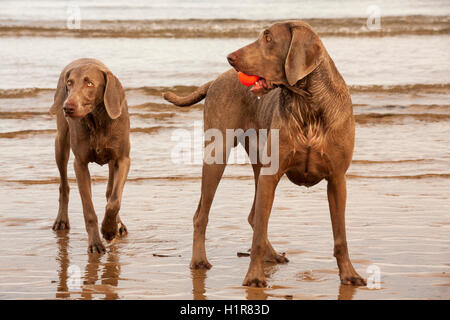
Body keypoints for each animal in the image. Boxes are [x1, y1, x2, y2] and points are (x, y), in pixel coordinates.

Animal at [50, 57, 130, 252]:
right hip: (60, 144)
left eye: (89, 83)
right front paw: (95, 242)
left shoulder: (123, 159)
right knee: (64, 185)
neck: (98, 121)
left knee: (111, 192)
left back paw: (117, 224)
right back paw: (61, 220)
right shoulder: (80, 164)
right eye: (70, 83)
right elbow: (89, 210)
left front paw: (109, 229)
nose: (67, 107)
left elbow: (114, 200)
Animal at [163, 21, 368, 288]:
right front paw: (253, 276)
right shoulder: (271, 175)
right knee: (204, 214)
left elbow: (340, 235)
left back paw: (272, 255)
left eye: (268, 38)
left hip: (258, 162)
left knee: (254, 215)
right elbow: (258, 235)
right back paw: (199, 260)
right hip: (218, 155)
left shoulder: (337, 178)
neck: (308, 105)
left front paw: (349, 274)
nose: (230, 57)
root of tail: (216, 80)